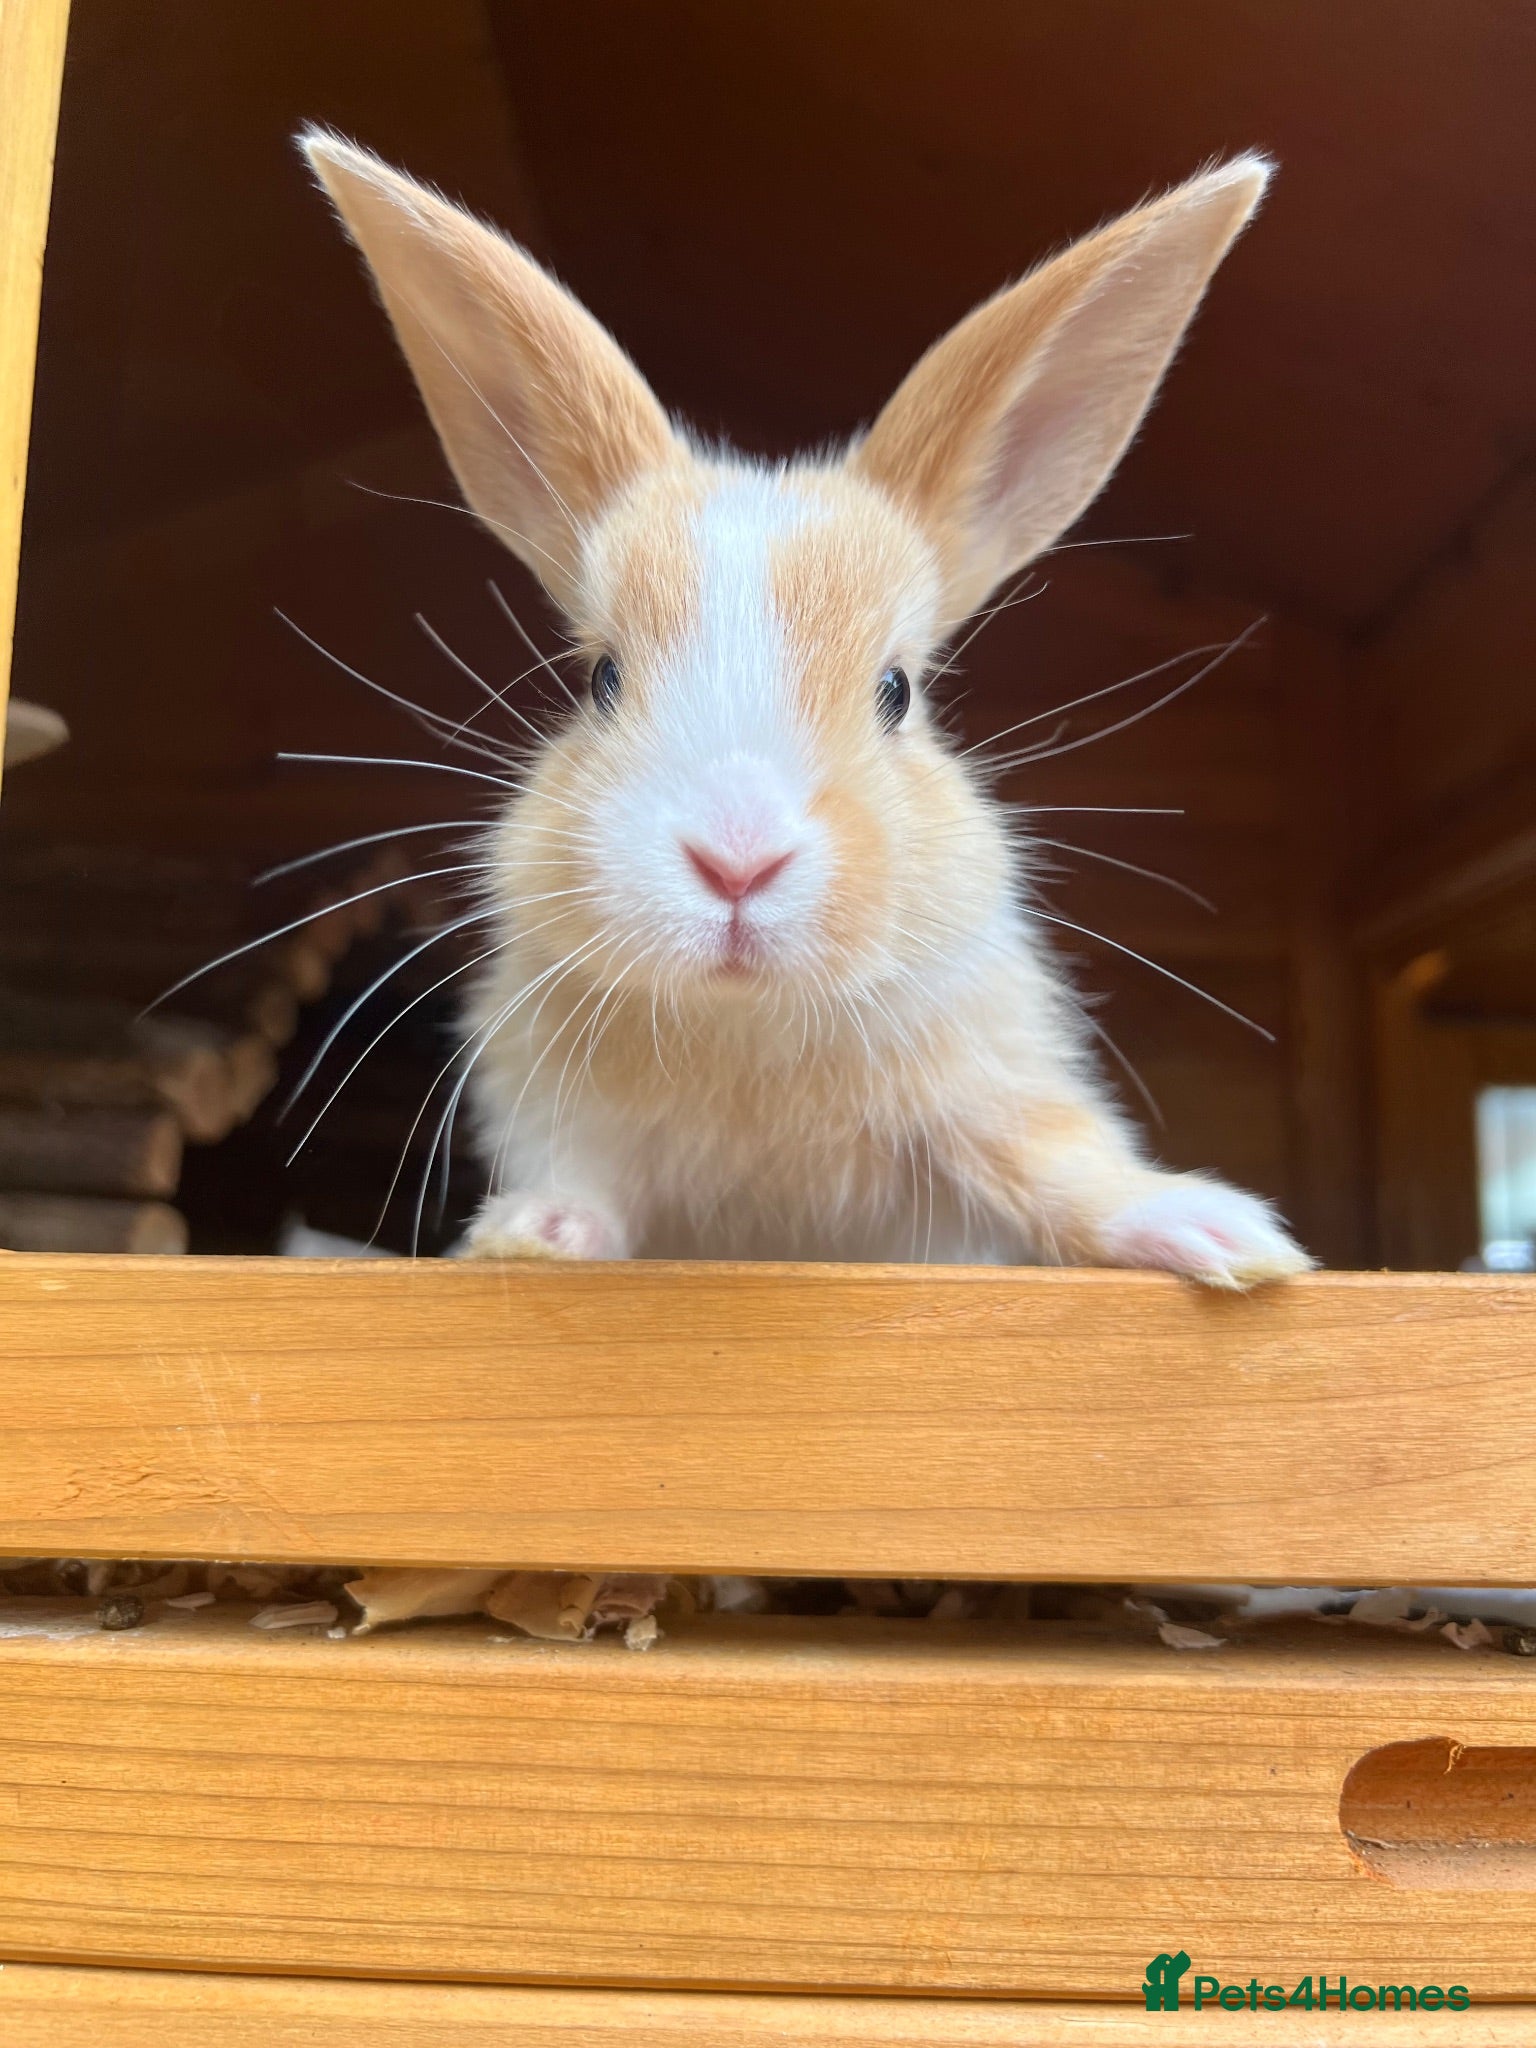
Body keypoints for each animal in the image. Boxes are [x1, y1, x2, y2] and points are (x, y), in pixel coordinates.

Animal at [302, 132, 1312, 1289]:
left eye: (898, 691)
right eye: (601, 679)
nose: (737, 860)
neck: (749, 1024)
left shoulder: (998, 1085)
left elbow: (1065, 1168)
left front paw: (1225, 1236)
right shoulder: (557, 1104)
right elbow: (590, 1183)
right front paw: (532, 1233)